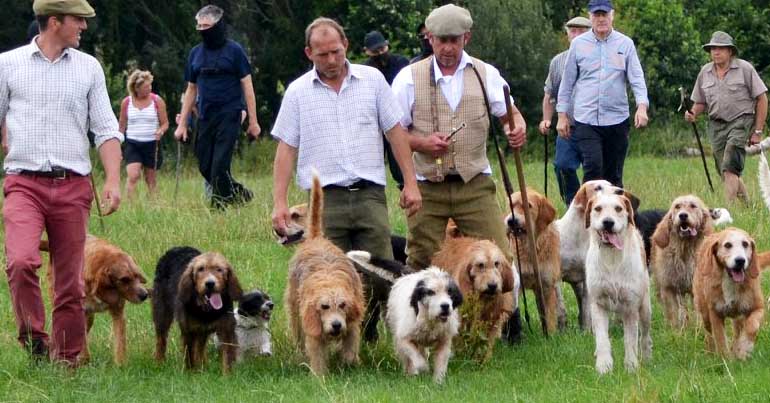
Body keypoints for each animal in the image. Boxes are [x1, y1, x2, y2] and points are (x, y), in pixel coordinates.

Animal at [284, 177, 364, 376]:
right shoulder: (312, 323)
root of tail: (315, 237)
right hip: (294, 308)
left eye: (343, 305)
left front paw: (349, 364)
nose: (336, 325)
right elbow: (317, 354)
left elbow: (350, 349)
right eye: (324, 307)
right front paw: (319, 376)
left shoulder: (352, 322)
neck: (330, 282)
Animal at [508, 189, 560, 334]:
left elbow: (549, 316)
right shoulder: (518, 284)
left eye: (528, 206)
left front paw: (550, 335)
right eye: (511, 205)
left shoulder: (546, 286)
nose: (510, 221)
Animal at [584, 194, 652, 374]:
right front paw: (604, 366)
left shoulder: (631, 306)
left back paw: (647, 357)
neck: (612, 258)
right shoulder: (598, 304)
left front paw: (631, 367)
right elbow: (602, 339)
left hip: (645, 308)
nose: (608, 222)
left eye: (618, 208)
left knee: (645, 335)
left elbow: (630, 339)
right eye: (598, 208)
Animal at [652, 194, 712, 330]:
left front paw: (699, 328)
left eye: (693, 206)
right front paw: (675, 330)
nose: (683, 215)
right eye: (677, 206)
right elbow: (673, 313)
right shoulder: (669, 287)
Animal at [692, 229, 760, 362]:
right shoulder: (715, 313)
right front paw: (724, 359)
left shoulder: (757, 307)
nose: (740, 260)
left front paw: (744, 349)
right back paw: (711, 352)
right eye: (728, 245)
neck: (730, 281)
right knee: (709, 334)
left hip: (739, 317)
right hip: (704, 311)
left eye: (745, 244)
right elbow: (720, 339)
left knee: (738, 331)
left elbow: (752, 326)